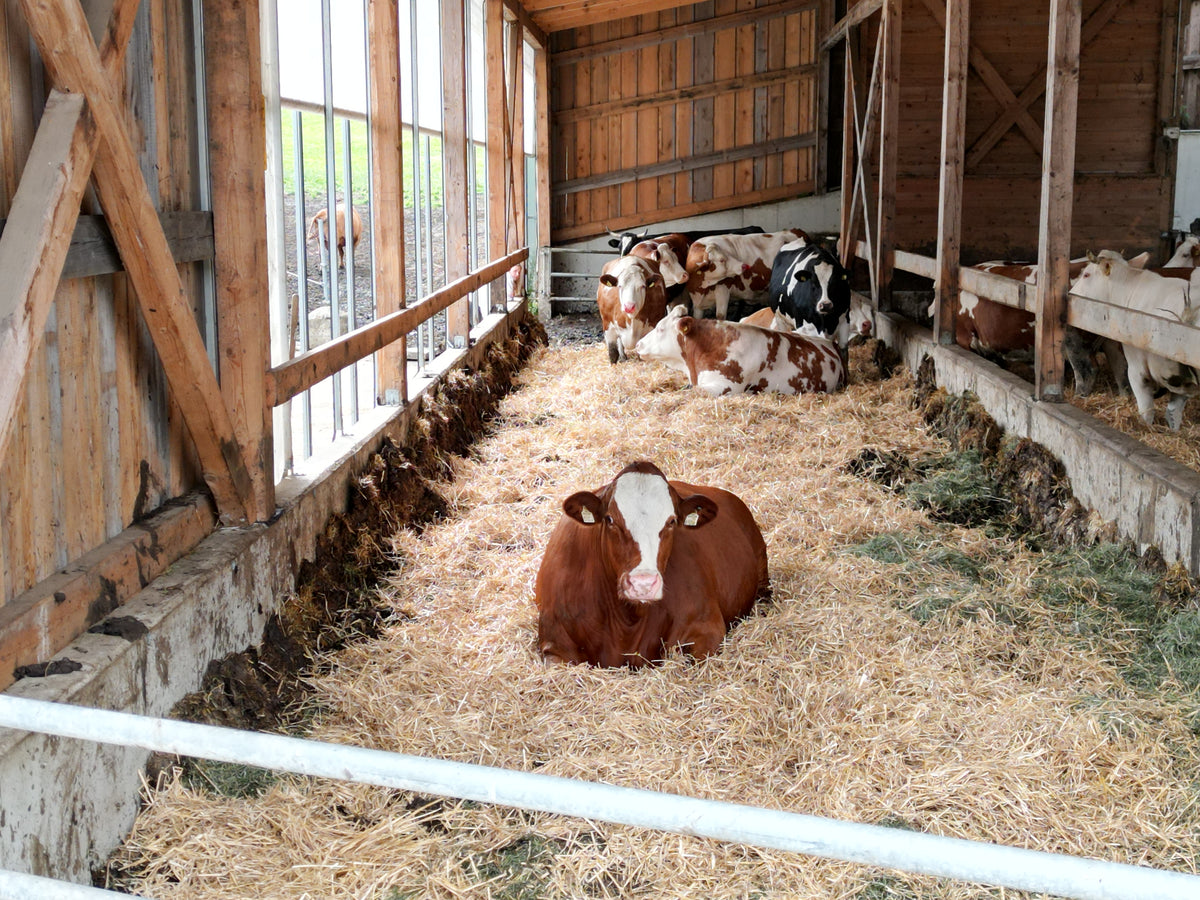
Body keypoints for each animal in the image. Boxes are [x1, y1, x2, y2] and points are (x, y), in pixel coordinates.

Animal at [534, 461, 770, 668]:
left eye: (672, 521)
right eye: (610, 519)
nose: (643, 584)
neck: (626, 624)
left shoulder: (707, 629)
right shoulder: (555, 644)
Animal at [1070, 251, 1199, 429]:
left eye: (1086, 274)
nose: (1069, 293)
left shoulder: (1137, 368)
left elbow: (1146, 411)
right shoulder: (1183, 381)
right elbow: (1174, 415)